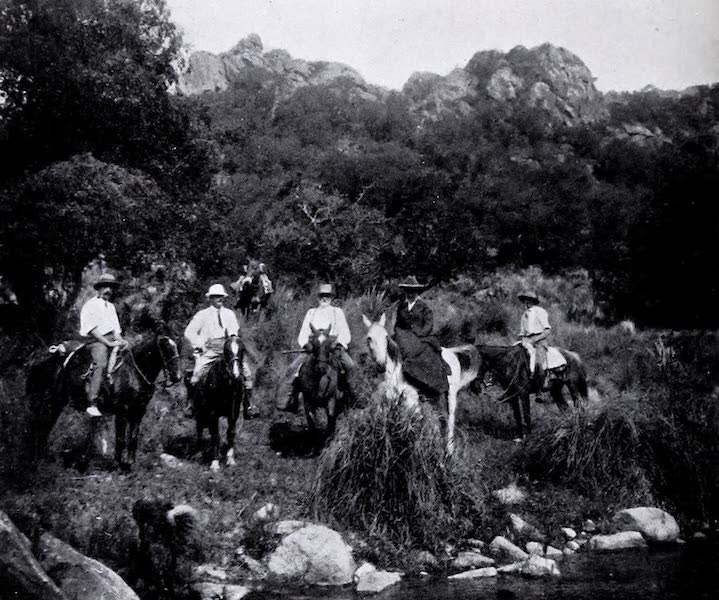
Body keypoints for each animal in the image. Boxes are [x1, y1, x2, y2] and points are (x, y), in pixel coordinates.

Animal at [28, 326, 183, 472]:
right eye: (165, 347)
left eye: (176, 346)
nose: (177, 377)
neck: (134, 374)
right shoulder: (122, 411)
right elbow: (120, 438)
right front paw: (117, 465)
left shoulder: (138, 411)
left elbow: (133, 438)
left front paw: (129, 465)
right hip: (52, 402)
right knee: (40, 426)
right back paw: (36, 460)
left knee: (44, 427)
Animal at [191, 336, 248, 472]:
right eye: (226, 351)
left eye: (242, 350)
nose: (236, 374)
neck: (226, 384)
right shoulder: (212, 413)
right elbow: (215, 435)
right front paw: (215, 463)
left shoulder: (234, 412)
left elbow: (230, 433)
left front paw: (230, 460)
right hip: (200, 413)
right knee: (199, 429)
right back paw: (198, 452)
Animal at [362, 314, 480, 454]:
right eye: (369, 338)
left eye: (386, 336)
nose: (381, 364)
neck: (395, 372)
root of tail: (451, 352)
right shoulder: (386, 401)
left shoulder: (411, 401)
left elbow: (413, 423)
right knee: (441, 418)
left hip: (451, 394)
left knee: (450, 418)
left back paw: (449, 450)